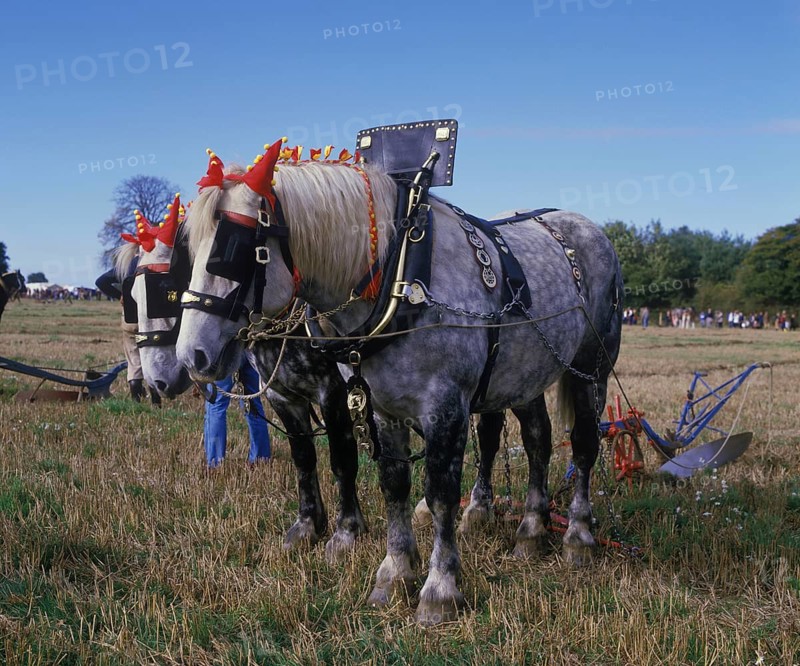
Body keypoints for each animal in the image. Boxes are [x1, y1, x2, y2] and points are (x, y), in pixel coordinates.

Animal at [117, 197, 367, 560]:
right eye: (131, 298)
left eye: (166, 291)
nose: (157, 380)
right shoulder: (282, 396)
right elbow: (303, 458)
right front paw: (307, 526)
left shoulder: (334, 392)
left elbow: (342, 459)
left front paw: (347, 531)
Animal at [175, 141, 623, 625]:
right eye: (189, 250)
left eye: (232, 247)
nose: (191, 355)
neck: (401, 270)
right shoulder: (380, 407)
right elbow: (393, 485)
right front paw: (394, 574)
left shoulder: (444, 406)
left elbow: (440, 493)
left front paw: (440, 588)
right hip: (525, 375)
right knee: (538, 440)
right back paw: (531, 530)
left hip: (591, 369)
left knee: (583, 444)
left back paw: (577, 535)